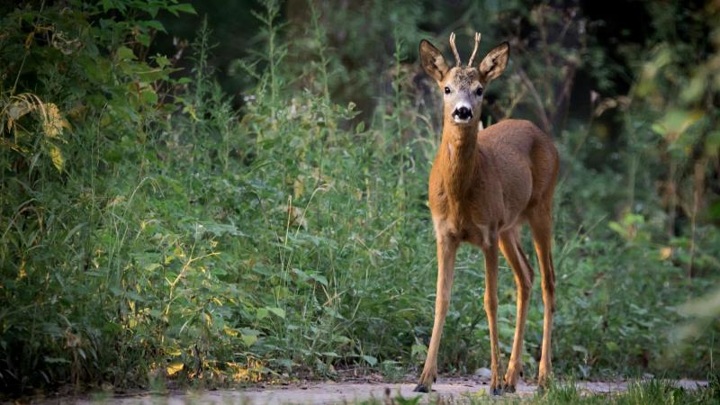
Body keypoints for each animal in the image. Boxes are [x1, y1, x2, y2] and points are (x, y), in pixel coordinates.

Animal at [414, 32, 560, 394]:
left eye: (480, 89)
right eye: (446, 88)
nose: (464, 112)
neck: (460, 196)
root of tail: (542, 134)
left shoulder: (487, 232)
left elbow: (490, 301)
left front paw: (491, 381)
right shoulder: (444, 234)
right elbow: (441, 298)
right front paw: (424, 378)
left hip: (541, 207)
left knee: (548, 280)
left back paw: (541, 376)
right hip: (510, 226)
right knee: (527, 276)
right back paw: (511, 377)